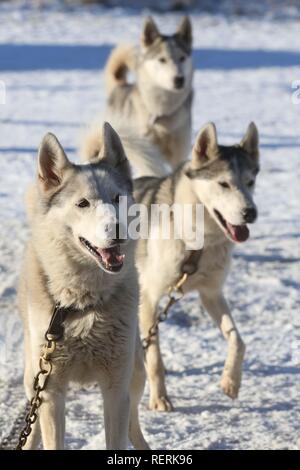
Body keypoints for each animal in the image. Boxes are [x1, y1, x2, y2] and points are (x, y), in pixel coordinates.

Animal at [18, 121, 149, 448]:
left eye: (117, 198)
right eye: (83, 203)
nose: (117, 230)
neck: (81, 302)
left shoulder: (116, 389)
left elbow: (118, 437)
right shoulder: (51, 391)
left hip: (136, 375)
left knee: (134, 425)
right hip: (33, 377)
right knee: (32, 426)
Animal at [104, 17, 193, 171]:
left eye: (182, 58)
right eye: (162, 59)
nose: (179, 79)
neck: (162, 112)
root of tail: (121, 84)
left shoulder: (178, 154)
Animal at [134, 122, 260, 412]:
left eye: (250, 182)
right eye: (224, 183)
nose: (250, 213)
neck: (197, 243)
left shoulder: (211, 293)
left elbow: (238, 340)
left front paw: (230, 381)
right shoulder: (149, 297)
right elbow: (154, 357)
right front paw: (159, 398)